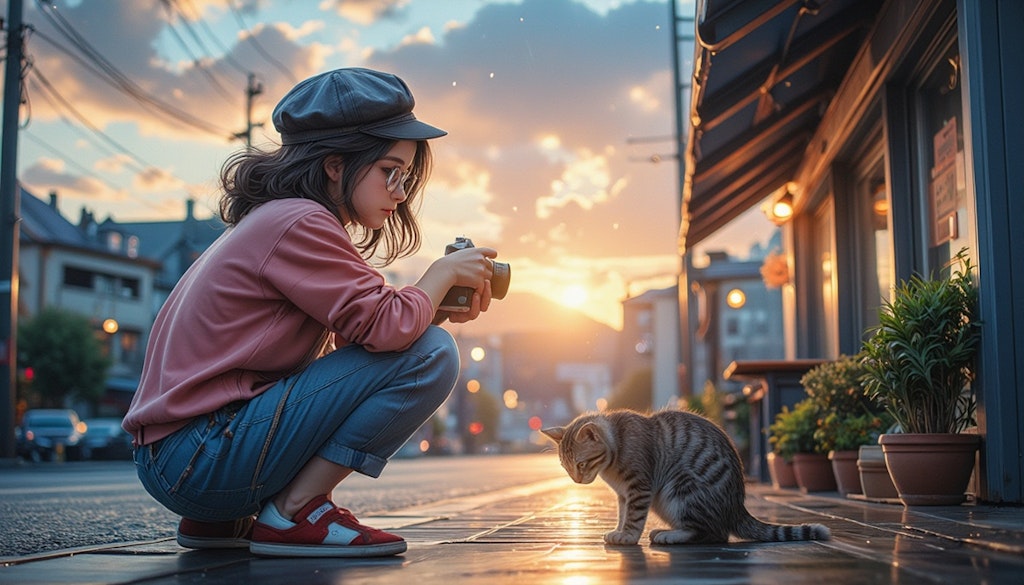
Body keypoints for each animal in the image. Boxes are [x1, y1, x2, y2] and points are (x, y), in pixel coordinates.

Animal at [540, 409, 827, 549]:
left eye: (581, 464)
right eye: (566, 467)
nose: (577, 480)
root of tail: (737, 508)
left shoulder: (639, 488)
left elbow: (634, 517)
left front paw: (628, 536)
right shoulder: (623, 494)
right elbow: (623, 515)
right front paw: (620, 530)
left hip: (682, 487)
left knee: (713, 534)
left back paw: (671, 536)